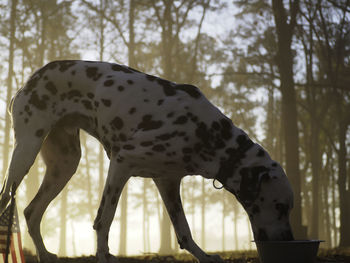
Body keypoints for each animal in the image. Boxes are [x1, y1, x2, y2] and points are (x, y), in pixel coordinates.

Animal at [0, 60, 294, 262]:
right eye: (280, 207)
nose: (289, 241)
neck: (208, 133)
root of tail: (32, 77)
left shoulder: (168, 182)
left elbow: (184, 231)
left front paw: (204, 256)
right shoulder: (121, 163)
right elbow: (103, 219)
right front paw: (104, 256)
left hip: (64, 166)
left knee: (31, 211)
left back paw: (44, 254)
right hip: (26, 152)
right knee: (7, 201)